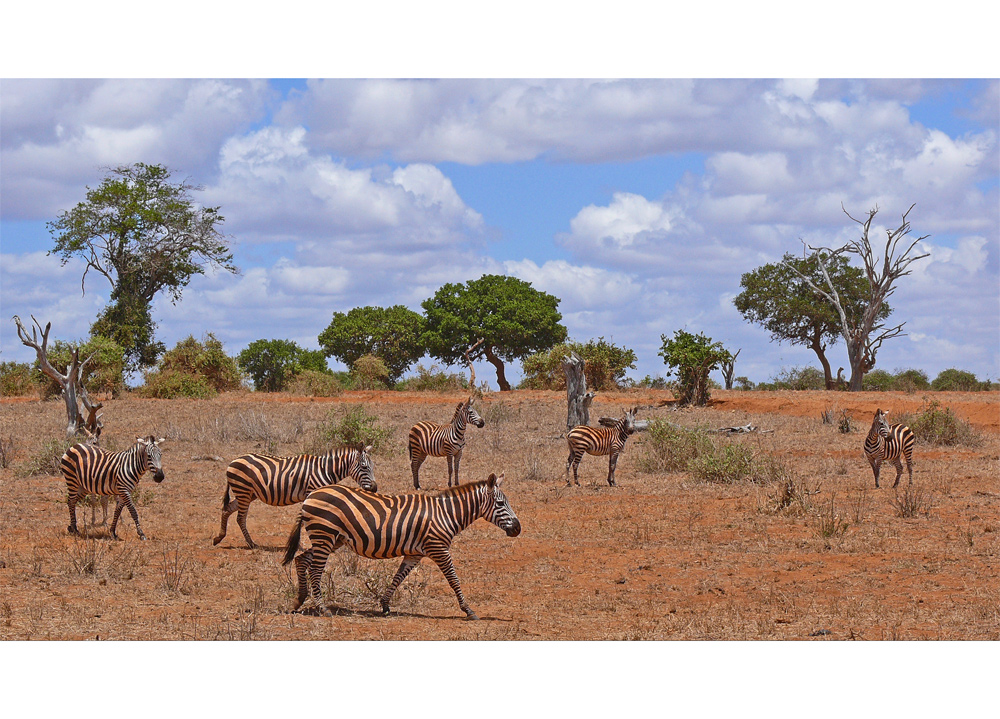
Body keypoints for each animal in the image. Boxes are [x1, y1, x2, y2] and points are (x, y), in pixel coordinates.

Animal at [213, 444, 376, 552]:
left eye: (372, 467)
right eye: (364, 467)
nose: (374, 488)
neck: (325, 470)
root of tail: (234, 460)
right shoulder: (312, 493)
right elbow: (305, 521)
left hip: (248, 493)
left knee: (227, 509)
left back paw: (219, 537)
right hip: (243, 491)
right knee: (240, 517)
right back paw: (251, 544)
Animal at [280, 472, 520, 620]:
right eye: (500, 503)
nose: (518, 529)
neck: (445, 514)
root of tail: (311, 494)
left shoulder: (415, 554)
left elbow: (398, 577)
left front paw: (385, 605)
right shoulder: (439, 548)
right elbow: (454, 579)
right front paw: (468, 610)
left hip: (331, 539)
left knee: (301, 560)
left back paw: (297, 602)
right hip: (325, 534)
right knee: (315, 569)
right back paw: (322, 608)